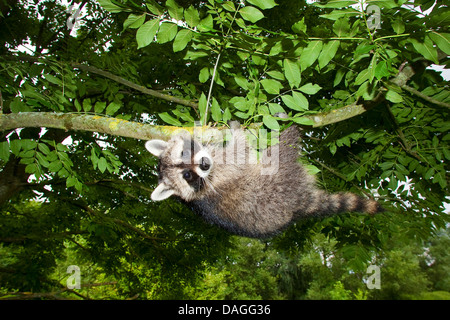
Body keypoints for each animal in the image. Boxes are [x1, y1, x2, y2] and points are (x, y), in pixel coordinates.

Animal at [147, 125, 384, 238]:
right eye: (186, 176)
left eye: (184, 152)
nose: (204, 164)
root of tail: (301, 205)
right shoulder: (221, 173)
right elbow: (240, 153)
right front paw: (235, 129)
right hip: (281, 184)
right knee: (281, 154)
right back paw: (290, 129)